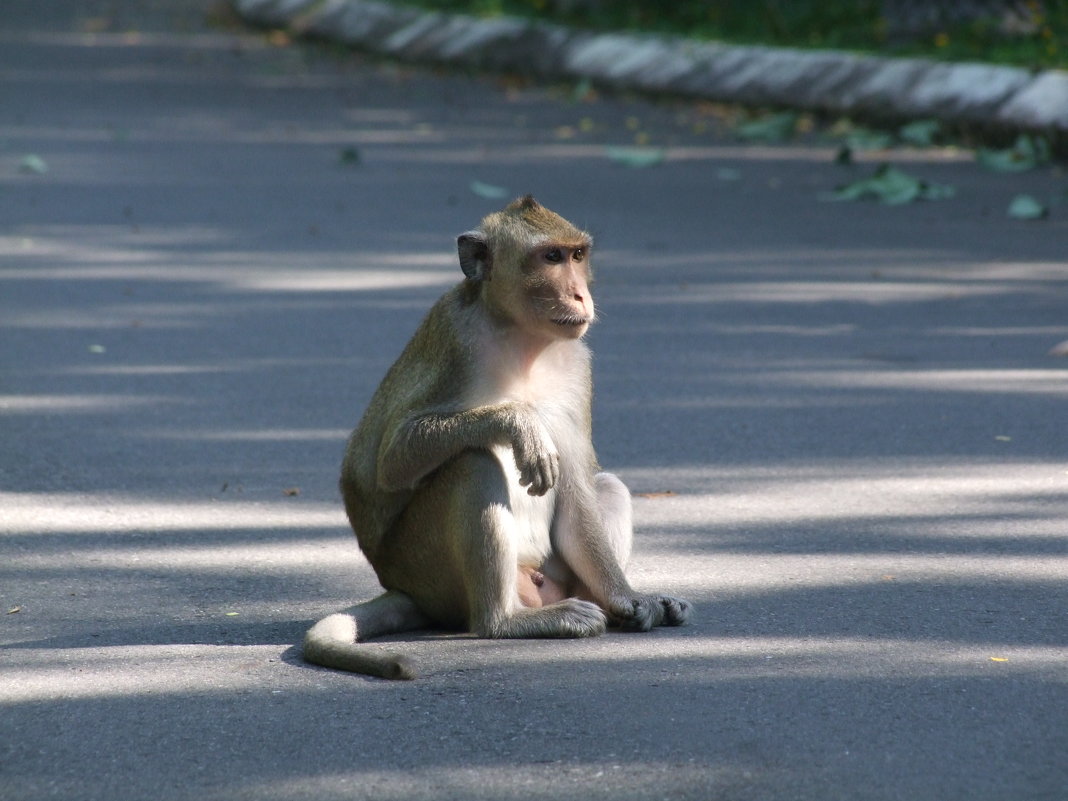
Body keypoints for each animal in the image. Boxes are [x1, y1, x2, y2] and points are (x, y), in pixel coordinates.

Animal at [303, 194, 692, 679]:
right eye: (550, 257)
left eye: (577, 255)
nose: (580, 294)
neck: (524, 339)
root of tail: (402, 585)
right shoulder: (455, 338)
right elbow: (392, 460)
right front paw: (519, 423)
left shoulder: (579, 366)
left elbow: (578, 485)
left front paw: (629, 598)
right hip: (428, 569)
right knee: (473, 464)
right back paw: (506, 621)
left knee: (606, 485)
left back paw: (606, 603)